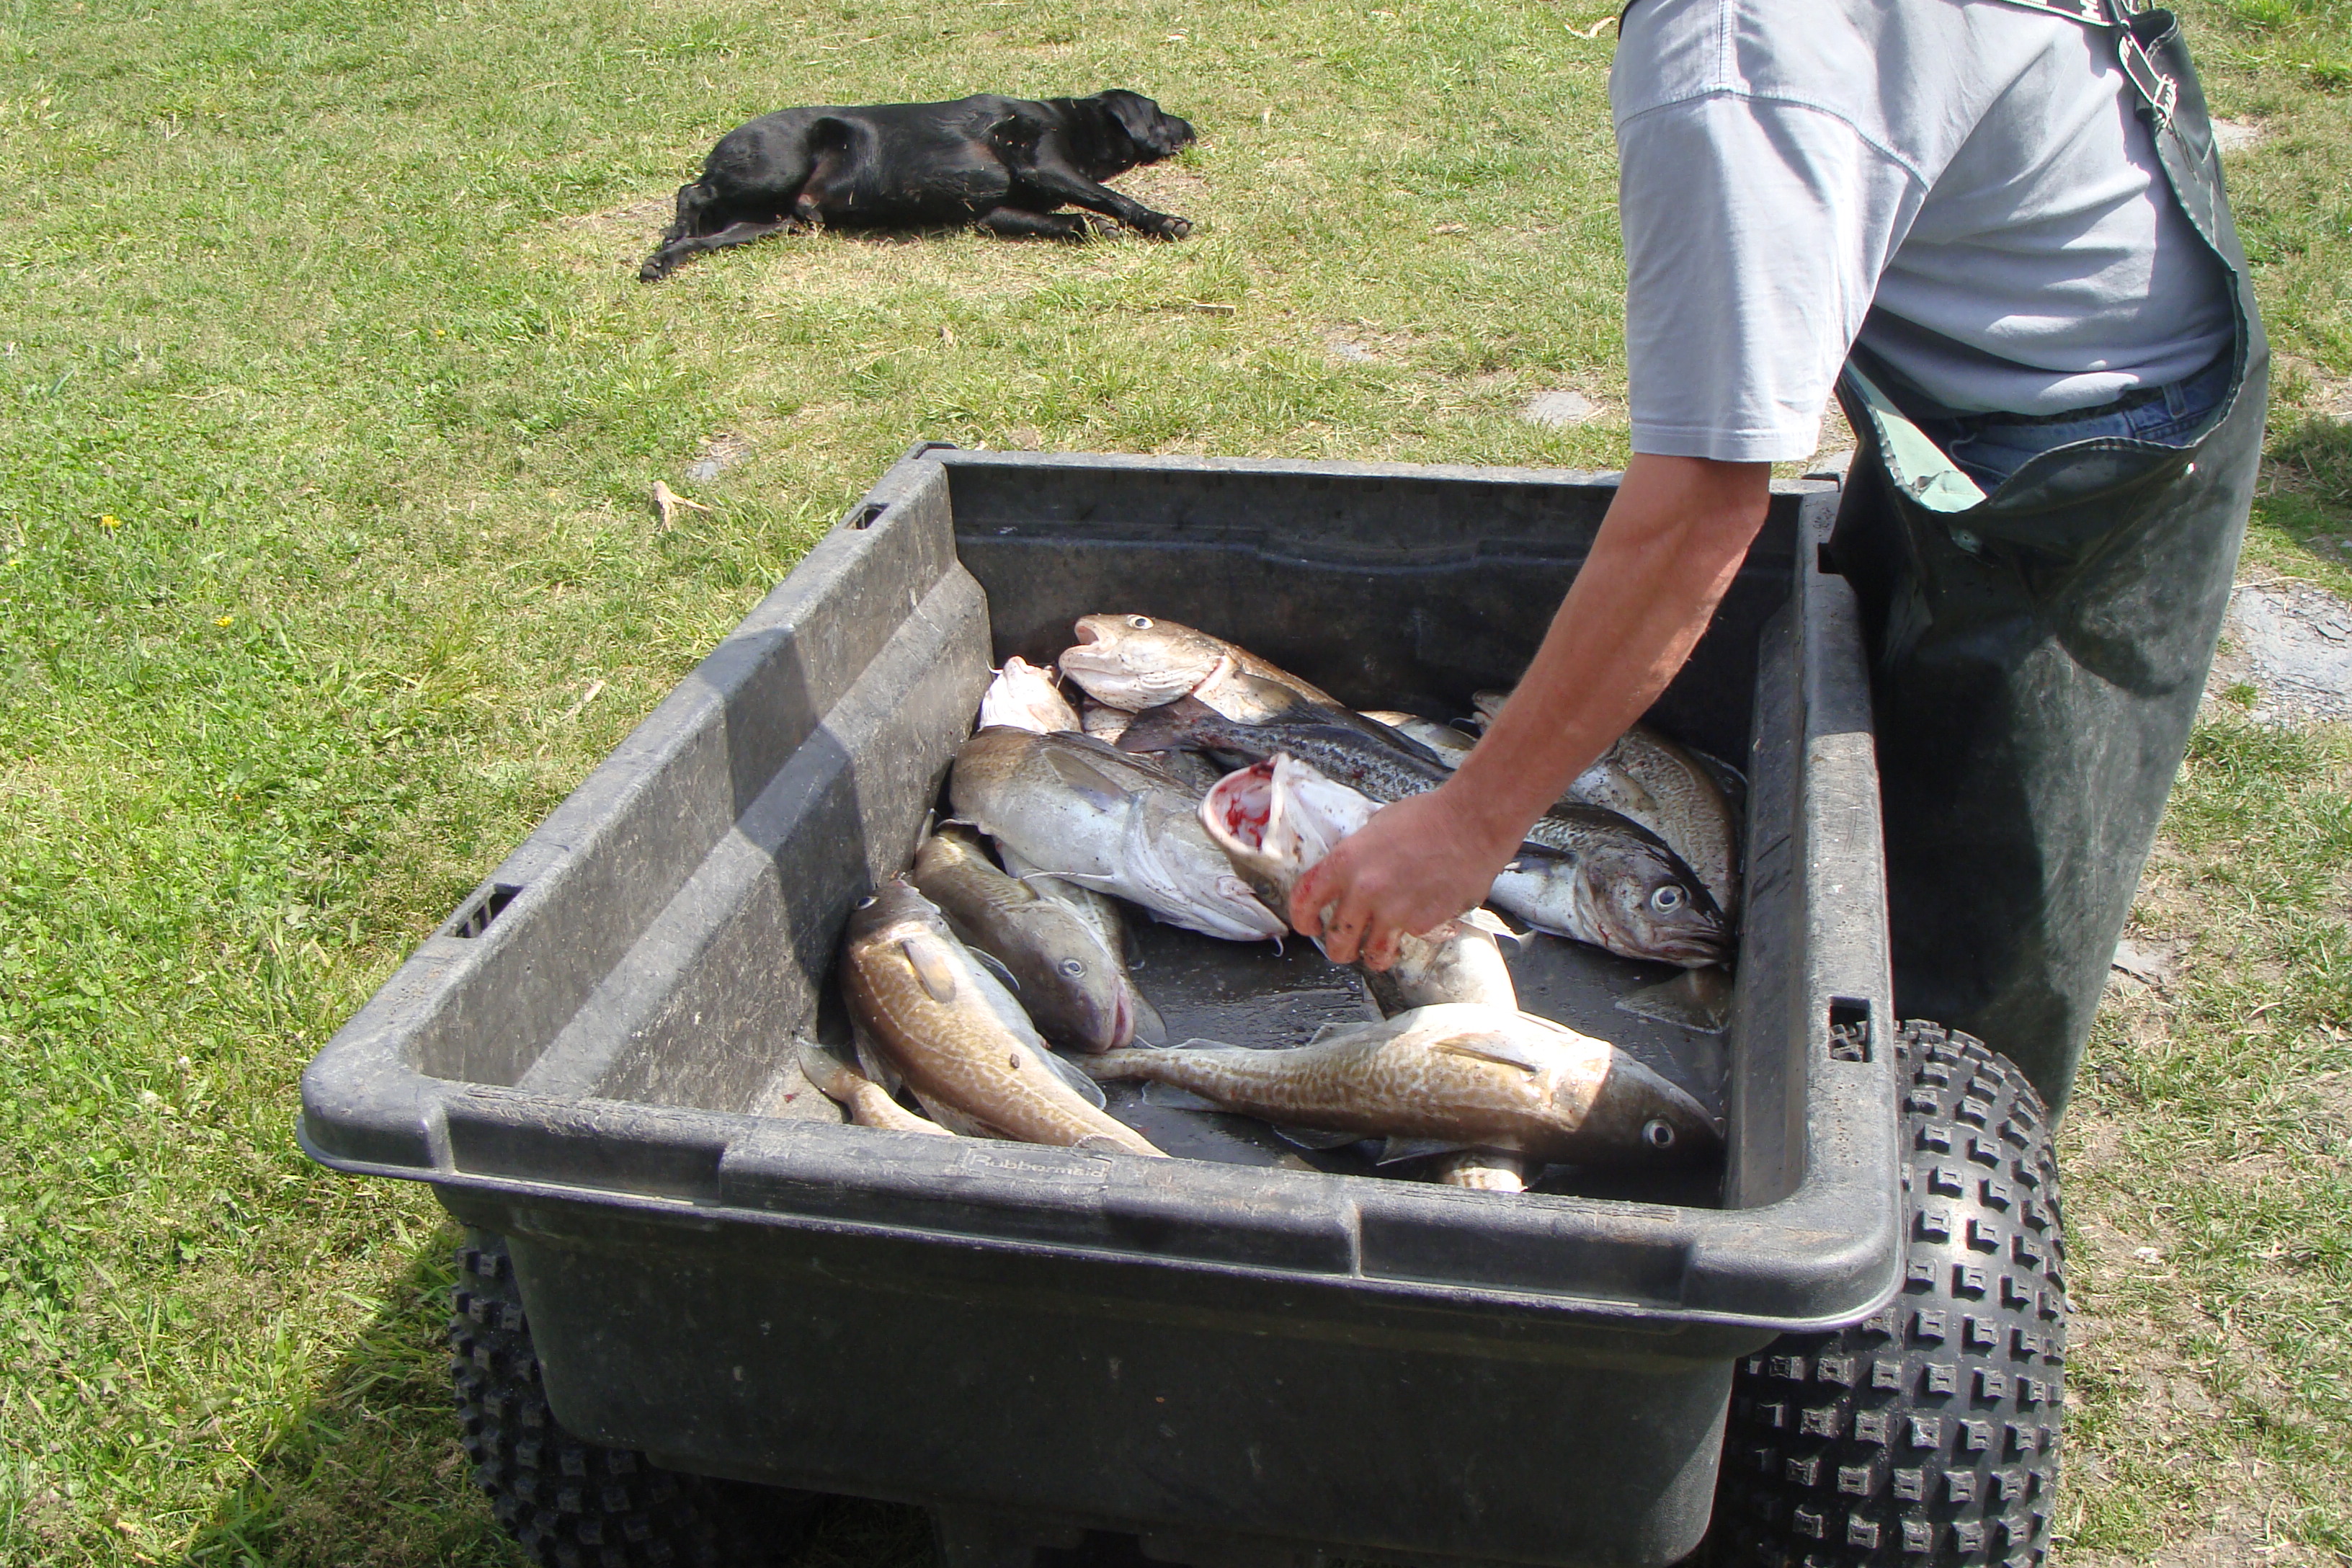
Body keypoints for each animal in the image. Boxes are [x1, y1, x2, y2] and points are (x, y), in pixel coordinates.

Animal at [640, 90, 1197, 281]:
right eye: (1158, 111)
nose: (1191, 125)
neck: (1067, 119)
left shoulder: (993, 213)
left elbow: (1070, 219)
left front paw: (1094, 228)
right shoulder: (1046, 165)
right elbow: (1111, 198)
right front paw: (1162, 221)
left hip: (770, 221)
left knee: (707, 229)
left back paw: (665, 258)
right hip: (777, 165)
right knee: (692, 191)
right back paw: (671, 236)